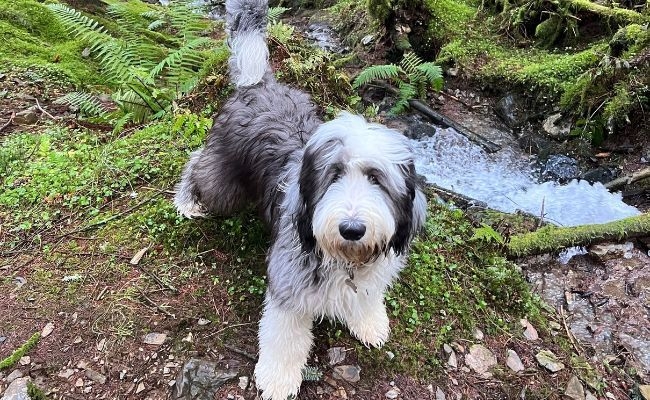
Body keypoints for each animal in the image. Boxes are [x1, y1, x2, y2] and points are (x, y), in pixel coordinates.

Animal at [172, 0, 428, 396]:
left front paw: (370, 323)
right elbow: (285, 336)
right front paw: (278, 379)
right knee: (198, 161)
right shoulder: (289, 284)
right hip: (224, 186)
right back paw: (187, 200)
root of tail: (258, 83)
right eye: (334, 174)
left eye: (376, 178)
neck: (345, 260)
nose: (351, 229)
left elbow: (367, 298)